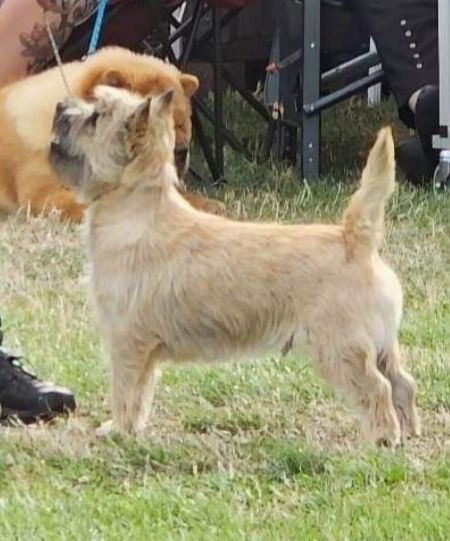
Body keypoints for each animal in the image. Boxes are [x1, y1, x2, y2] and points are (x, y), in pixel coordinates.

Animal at [49, 85, 420, 446]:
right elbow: (142, 392)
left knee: (378, 388)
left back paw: (383, 439)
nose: (59, 106)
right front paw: (130, 429)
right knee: (403, 381)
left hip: (341, 348)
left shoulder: (128, 340)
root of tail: (355, 241)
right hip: (382, 344)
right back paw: (408, 431)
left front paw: (118, 429)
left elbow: (127, 390)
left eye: (95, 117)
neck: (134, 210)